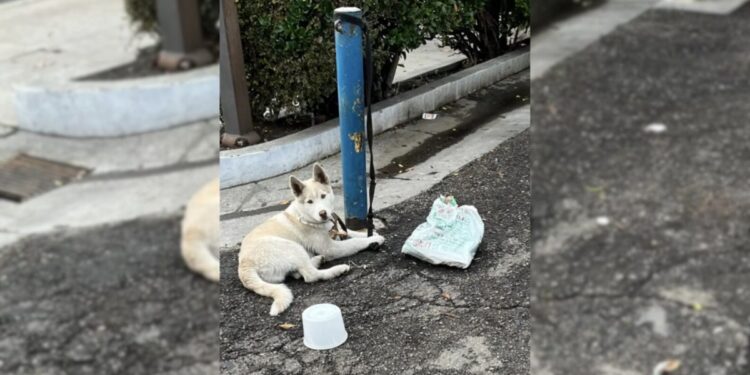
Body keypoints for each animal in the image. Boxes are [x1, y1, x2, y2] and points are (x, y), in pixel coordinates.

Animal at [238, 164, 384, 314]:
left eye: (323, 196)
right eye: (309, 202)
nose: (323, 213)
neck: (305, 217)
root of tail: (244, 265)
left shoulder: (334, 230)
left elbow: (348, 232)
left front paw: (371, 234)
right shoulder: (331, 248)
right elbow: (354, 242)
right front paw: (373, 240)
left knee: (298, 273)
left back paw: (317, 260)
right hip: (292, 247)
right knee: (310, 275)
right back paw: (336, 270)